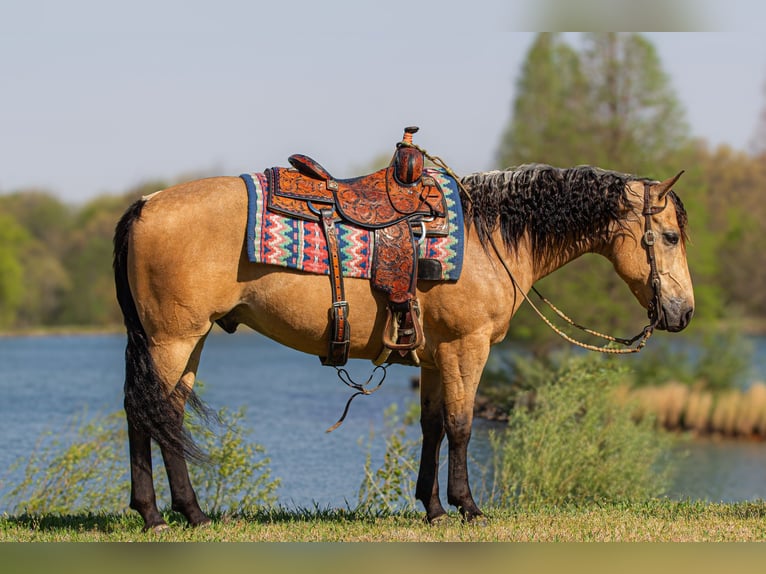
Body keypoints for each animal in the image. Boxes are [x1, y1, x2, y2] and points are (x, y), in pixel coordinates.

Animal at [113, 162, 694, 531]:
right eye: (668, 237)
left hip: (185, 342)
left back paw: (171, 512)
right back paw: (167, 515)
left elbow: (433, 427)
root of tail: (146, 204)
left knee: (155, 415)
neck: (491, 237)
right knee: (155, 414)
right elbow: (462, 426)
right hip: (173, 339)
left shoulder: (436, 356)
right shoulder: (466, 348)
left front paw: (432, 507)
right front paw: (468, 507)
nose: (684, 313)